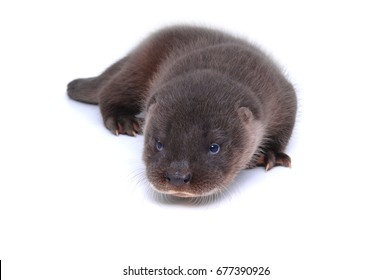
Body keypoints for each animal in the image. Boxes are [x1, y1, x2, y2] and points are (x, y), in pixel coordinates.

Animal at [67, 25, 296, 198]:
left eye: (214, 147)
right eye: (158, 143)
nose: (177, 177)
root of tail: (135, 51)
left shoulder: (282, 93)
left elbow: (285, 127)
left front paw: (271, 154)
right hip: (138, 69)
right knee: (110, 90)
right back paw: (122, 120)